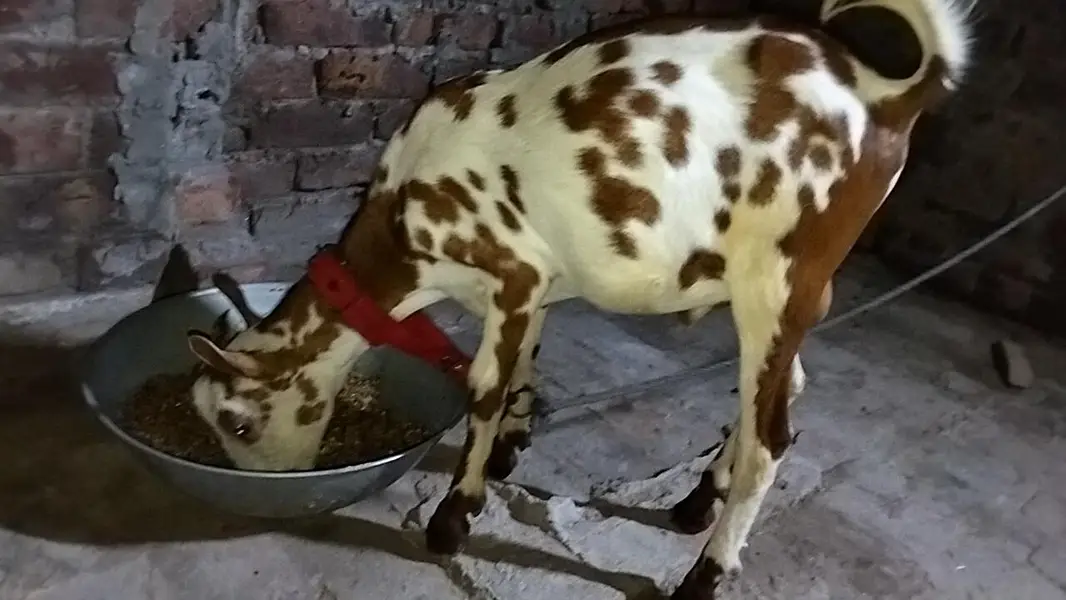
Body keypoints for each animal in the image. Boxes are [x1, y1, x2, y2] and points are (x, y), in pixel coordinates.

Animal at [183, 0, 975, 596]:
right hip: (790, 294)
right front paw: (510, 449)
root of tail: (887, 96)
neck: (406, 219)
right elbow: (524, 369)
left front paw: (454, 516)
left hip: (777, 279)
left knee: (770, 438)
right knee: (781, 392)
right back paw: (696, 502)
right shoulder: (531, 287)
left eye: (240, 422)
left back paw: (705, 574)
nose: (264, 489)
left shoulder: (510, 271)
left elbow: (483, 388)